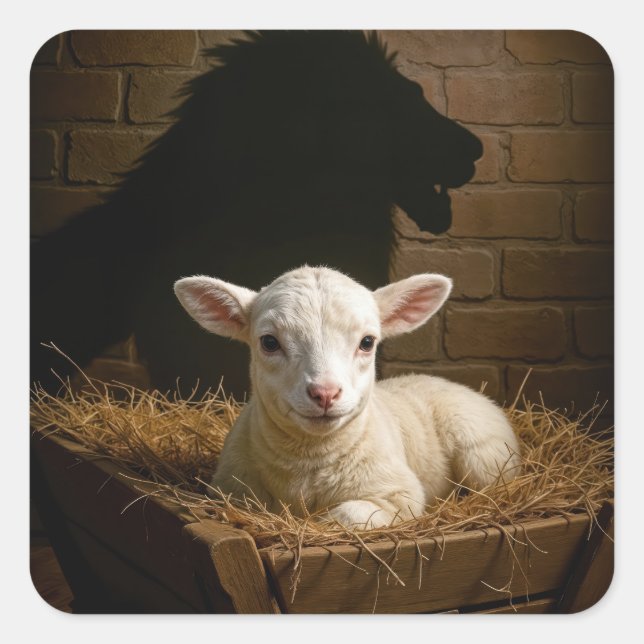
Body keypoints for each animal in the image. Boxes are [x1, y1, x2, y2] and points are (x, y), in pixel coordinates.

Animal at [174, 266, 521, 529]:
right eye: (269, 342)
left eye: (367, 342)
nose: (325, 393)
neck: (308, 460)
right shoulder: (230, 490)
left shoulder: (401, 493)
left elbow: (344, 516)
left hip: (485, 456)